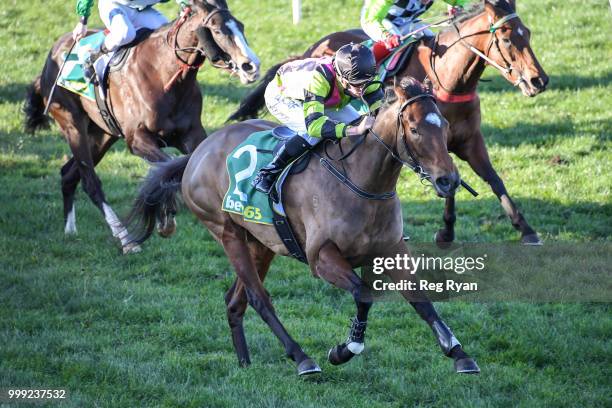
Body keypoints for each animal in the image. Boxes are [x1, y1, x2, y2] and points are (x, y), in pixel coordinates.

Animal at [22, 0, 258, 253]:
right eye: (217, 30)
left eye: (241, 26)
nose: (251, 66)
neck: (163, 75)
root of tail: (51, 57)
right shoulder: (137, 139)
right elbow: (166, 168)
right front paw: (165, 218)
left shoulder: (192, 134)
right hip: (72, 125)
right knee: (90, 181)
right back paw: (126, 240)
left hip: (102, 134)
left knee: (68, 174)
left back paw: (70, 229)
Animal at [124, 78, 480, 378]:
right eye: (415, 129)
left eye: (446, 125)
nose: (448, 180)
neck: (361, 181)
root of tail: (198, 152)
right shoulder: (321, 257)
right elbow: (363, 294)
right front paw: (343, 349)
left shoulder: (391, 250)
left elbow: (420, 299)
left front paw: (459, 353)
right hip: (226, 232)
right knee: (258, 298)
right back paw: (302, 358)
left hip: (262, 242)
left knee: (235, 300)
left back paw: (245, 362)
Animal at [228, 0, 548, 244]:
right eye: (506, 38)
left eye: (529, 34)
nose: (539, 80)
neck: (448, 78)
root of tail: (310, 49)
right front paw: (446, 231)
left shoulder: (468, 139)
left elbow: (492, 179)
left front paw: (526, 229)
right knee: (304, 133)